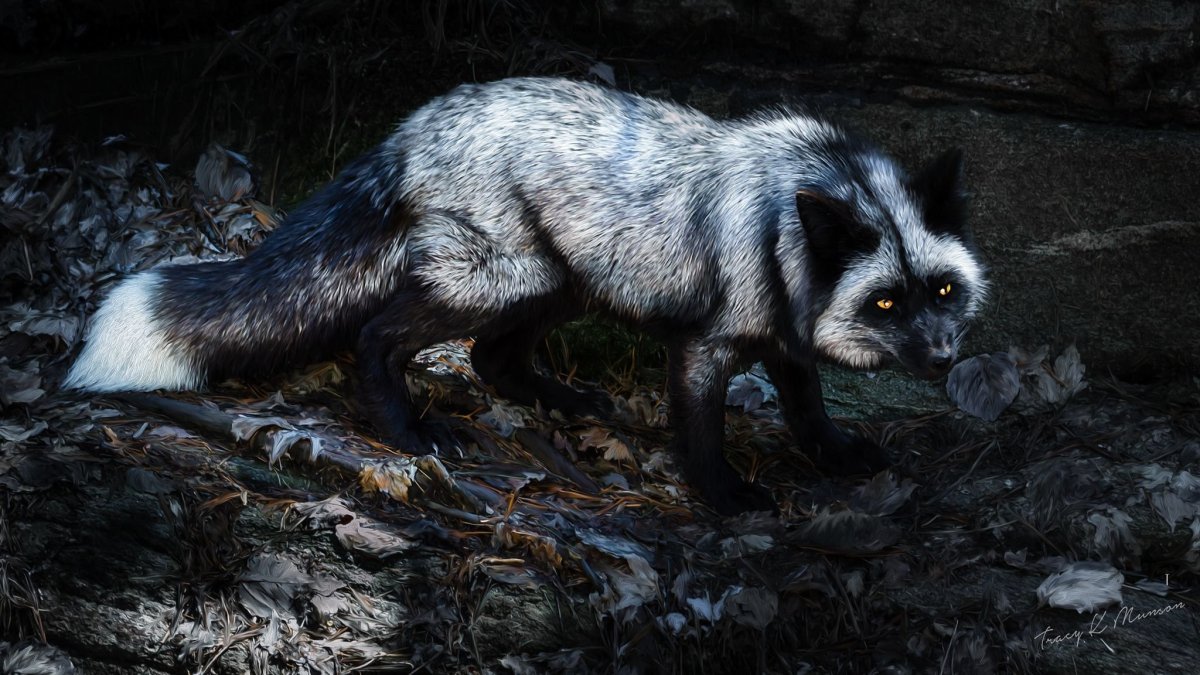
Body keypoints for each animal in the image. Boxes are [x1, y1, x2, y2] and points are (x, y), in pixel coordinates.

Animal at [65, 77, 987, 515]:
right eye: (884, 302)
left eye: (941, 289)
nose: (945, 356)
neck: (785, 219)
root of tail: (409, 129)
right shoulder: (707, 343)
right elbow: (703, 433)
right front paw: (725, 497)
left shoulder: (784, 336)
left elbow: (809, 409)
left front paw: (836, 455)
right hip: (503, 277)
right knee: (380, 335)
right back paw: (407, 429)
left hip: (564, 282)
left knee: (494, 358)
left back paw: (568, 402)